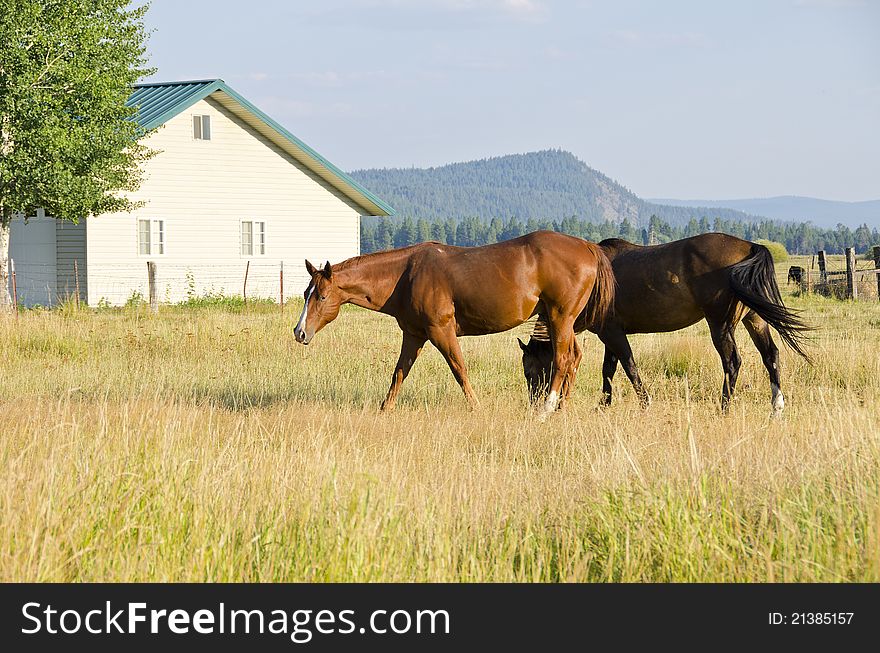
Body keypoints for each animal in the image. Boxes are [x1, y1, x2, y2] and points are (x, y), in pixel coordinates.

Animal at [292, 232, 616, 416]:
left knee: (562, 360)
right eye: (306, 293)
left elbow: (459, 369)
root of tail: (588, 247)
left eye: (321, 295)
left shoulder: (441, 332)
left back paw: (547, 408)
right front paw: (385, 410)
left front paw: (476, 407)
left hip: (560, 318)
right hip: (560, 321)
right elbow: (399, 374)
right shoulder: (414, 335)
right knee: (573, 358)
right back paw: (562, 407)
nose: (299, 332)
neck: (406, 275)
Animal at [516, 236, 812, 412]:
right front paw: (604, 405)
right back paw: (777, 406)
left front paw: (644, 404)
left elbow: (629, 367)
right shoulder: (610, 335)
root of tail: (749, 246)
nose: (533, 404)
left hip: (720, 324)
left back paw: (724, 407)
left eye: (529, 372)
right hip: (755, 319)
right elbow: (608, 370)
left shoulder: (612, 333)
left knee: (732, 362)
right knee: (770, 356)